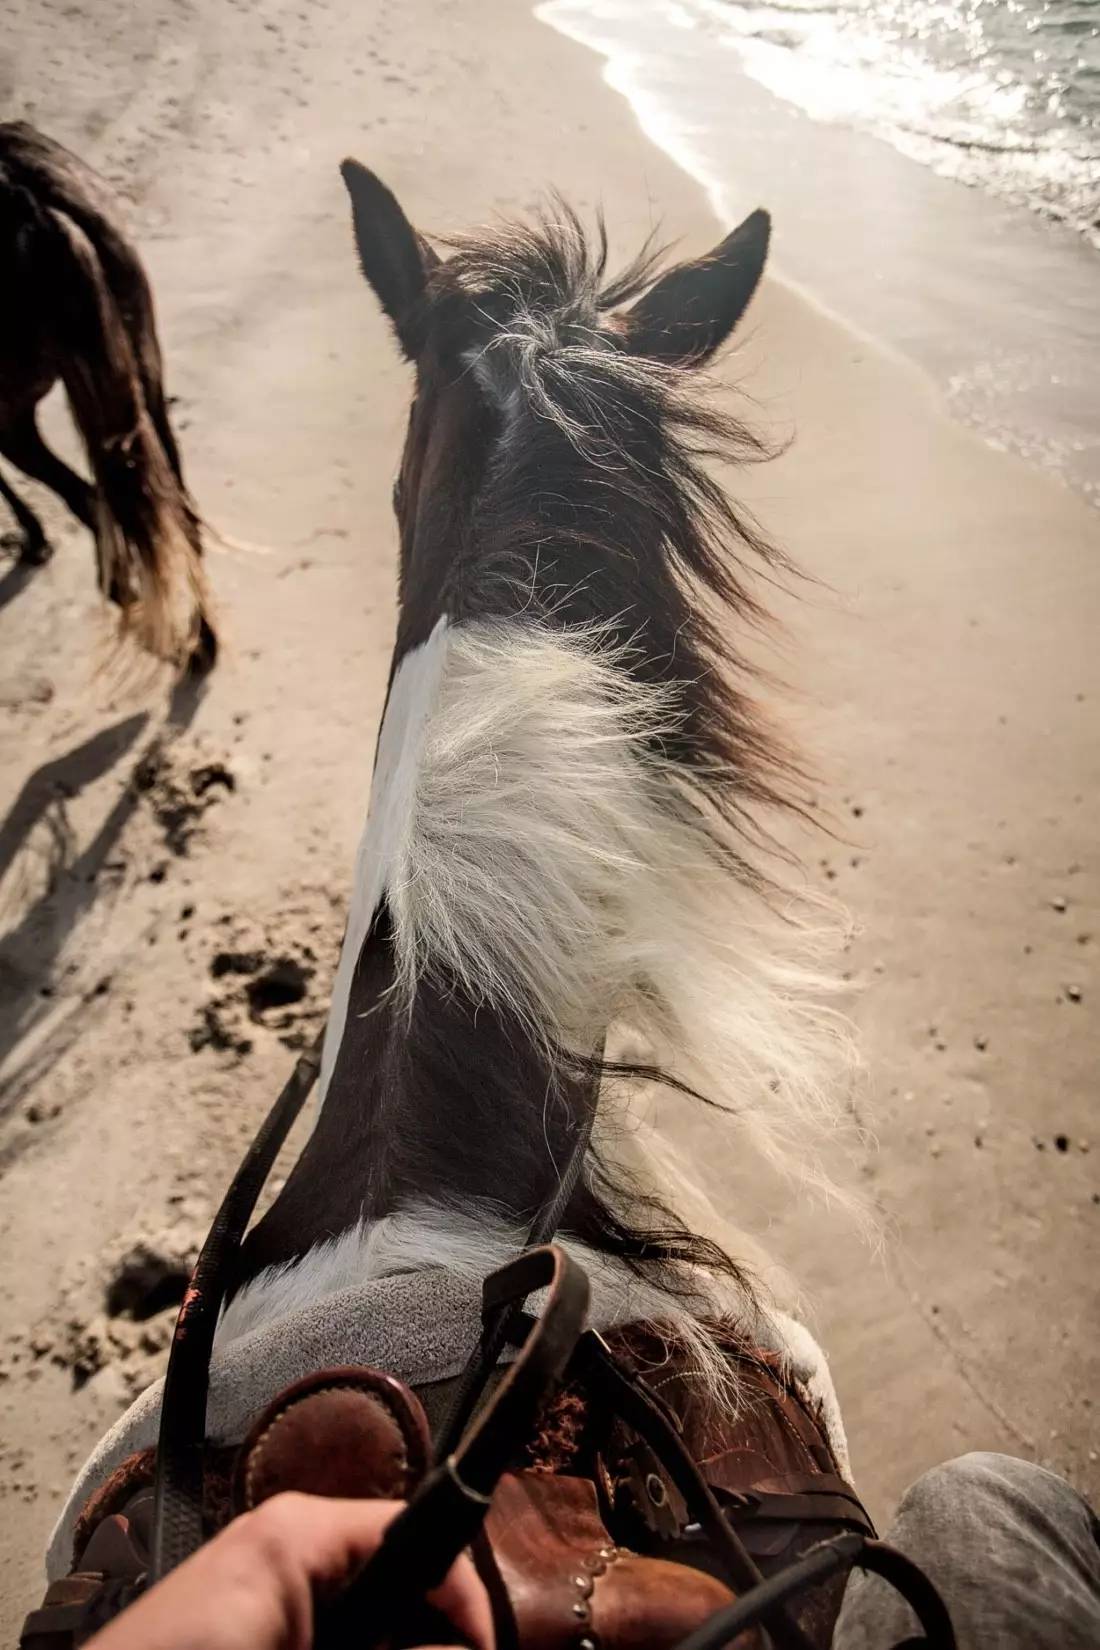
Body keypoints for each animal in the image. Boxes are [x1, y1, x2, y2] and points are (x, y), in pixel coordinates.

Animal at [0, 116, 217, 673]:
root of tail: (31, 202)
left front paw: (34, 540)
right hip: (143, 371)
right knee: (171, 508)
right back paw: (197, 641)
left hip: (14, 412)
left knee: (92, 497)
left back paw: (139, 611)